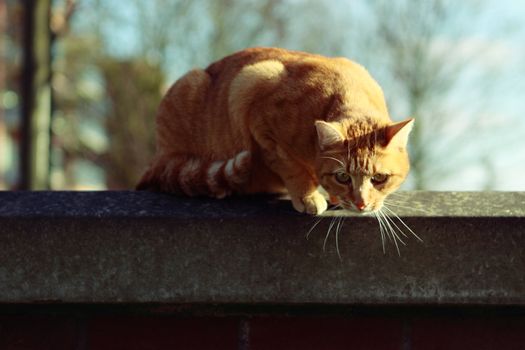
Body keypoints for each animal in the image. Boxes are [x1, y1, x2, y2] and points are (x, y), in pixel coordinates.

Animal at [136, 47, 414, 215]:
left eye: (379, 178)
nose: (361, 203)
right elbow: (292, 168)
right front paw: (308, 196)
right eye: (343, 177)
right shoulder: (253, 92)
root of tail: (159, 155)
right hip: (194, 85)